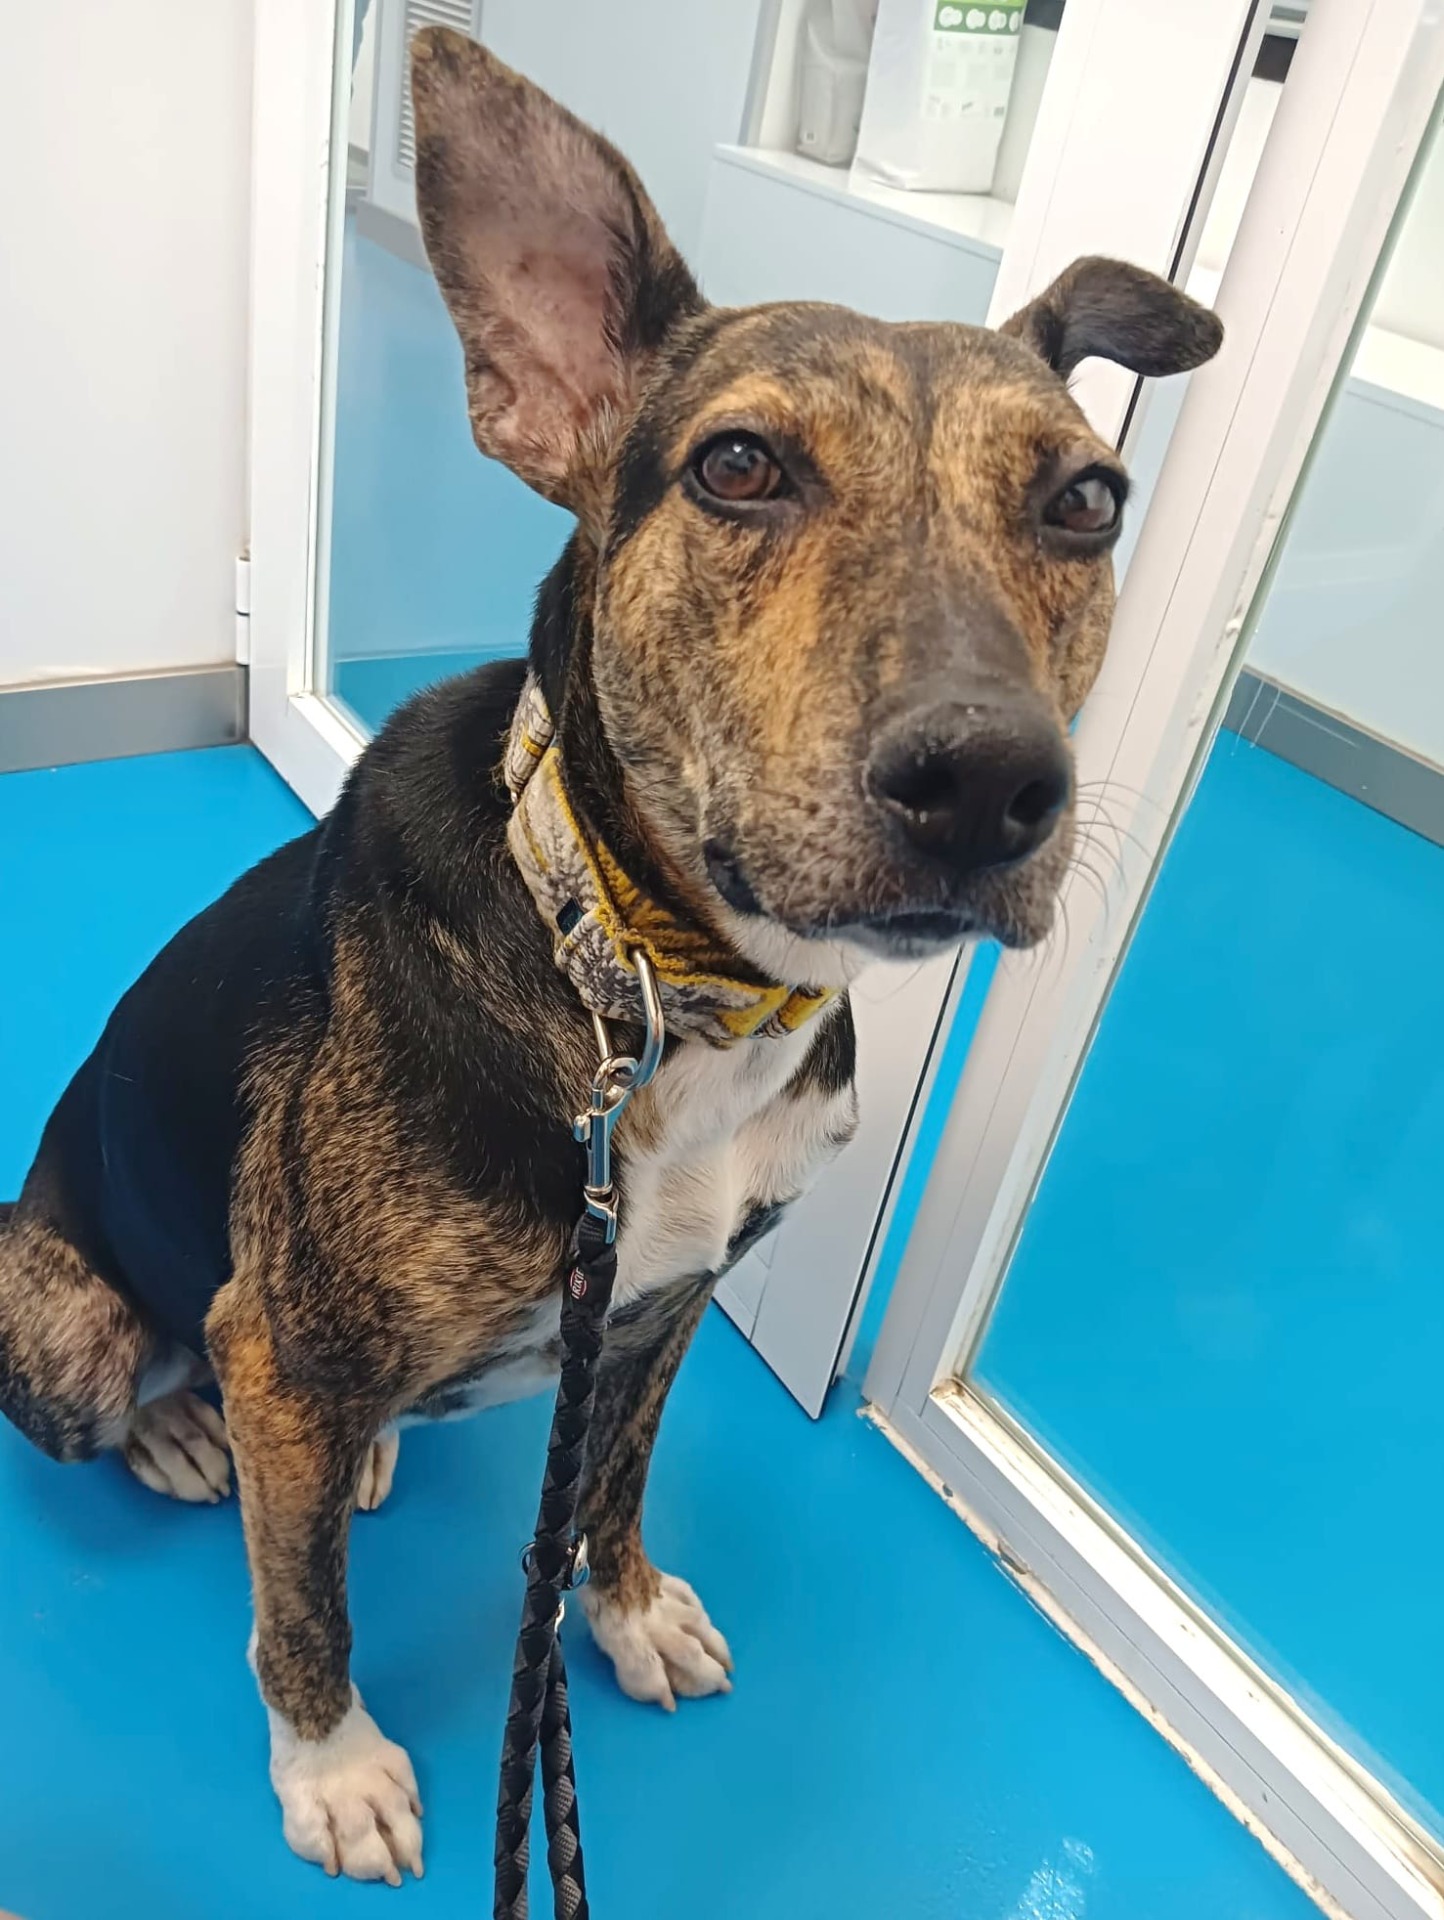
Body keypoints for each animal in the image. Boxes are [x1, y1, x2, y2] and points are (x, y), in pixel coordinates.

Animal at [0, 27, 1221, 1886]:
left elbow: (610, 1480)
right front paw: (333, 1768)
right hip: (68, 1317)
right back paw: (184, 1426)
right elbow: (304, 1616)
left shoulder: (662, 1306)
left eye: (1086, 501)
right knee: (171, 1379)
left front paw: (625, 1612)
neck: (653, 995)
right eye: (737, 468)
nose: (986, 785)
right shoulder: (290, 1343)